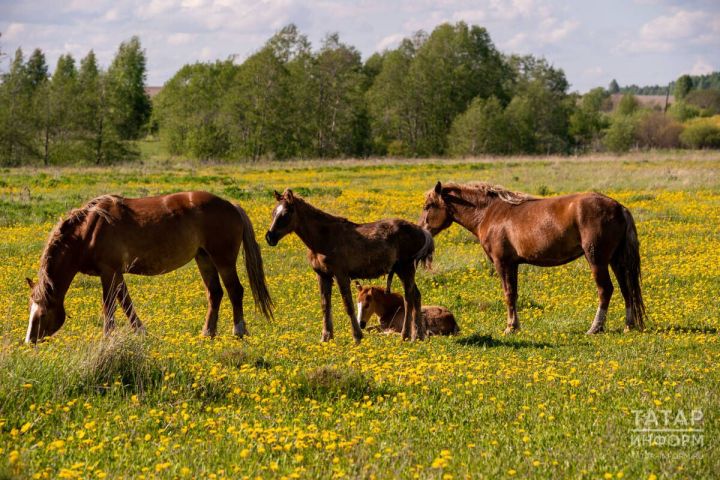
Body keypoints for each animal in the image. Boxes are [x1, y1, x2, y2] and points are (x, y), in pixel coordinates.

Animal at [25, 192, 273, 343]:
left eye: (43, 313)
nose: (29, 341)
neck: (89, 230)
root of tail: (231, 205)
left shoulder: (109, 272)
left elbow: (110, 306)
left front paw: (108, 337)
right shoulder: (117, 273)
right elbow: (126, 303)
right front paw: (141, 332)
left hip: (223, 260)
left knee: (235, 291)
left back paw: (239, 331)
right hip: (204, 258)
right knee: (215, 293)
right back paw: (207, 333)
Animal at [265, 189, 434, 342]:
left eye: (286, 213)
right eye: (273, 213)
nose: (269, 237)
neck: (324, 238)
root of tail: (421, 230)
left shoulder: (341, 275)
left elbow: (348, 305)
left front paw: (357, 336)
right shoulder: (323, 275)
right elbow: (325, 305)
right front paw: (326, 337)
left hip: (405, 268)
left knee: (408, 299)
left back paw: (406, 336)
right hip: (404, 270)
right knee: (416, 296)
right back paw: (418, 336)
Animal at [419, 181, 646, 335]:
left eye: (428, 206)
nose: (422, 230)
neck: (490, 213)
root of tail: (619, 207)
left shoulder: (502, 263)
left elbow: (508, 294)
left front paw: (510, 328)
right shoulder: (513, 264)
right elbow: (514, 294)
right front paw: (515, 326)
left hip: (597, 260)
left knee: (605, 290)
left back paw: (595, 328)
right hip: (616, 260)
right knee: (627, 290)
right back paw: (628, 325)